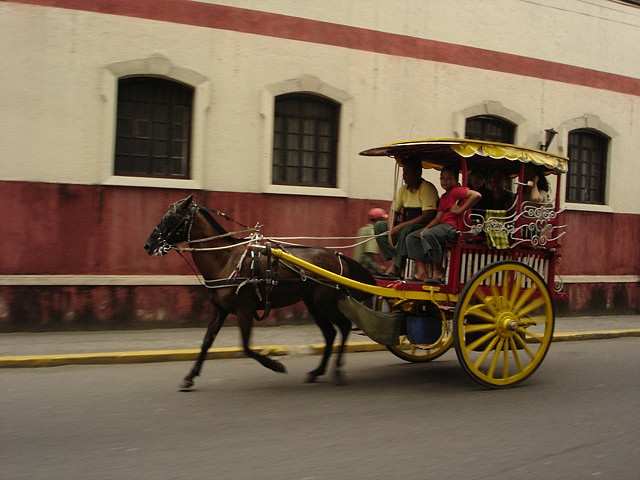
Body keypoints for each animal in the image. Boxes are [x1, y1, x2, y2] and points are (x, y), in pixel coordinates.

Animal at [144, 195, 376, 390]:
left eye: (170, 218)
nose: (148, 245)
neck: (225, 260)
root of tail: (338, 256)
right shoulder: (220, 308)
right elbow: (207, 341)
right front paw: (190, 377)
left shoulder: (244, 309)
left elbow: (246, 347)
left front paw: (276, 365)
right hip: (313, 303)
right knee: (329, 333)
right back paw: (317, 372)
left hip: (326, 302)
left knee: (343, 327)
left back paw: (337, 371)